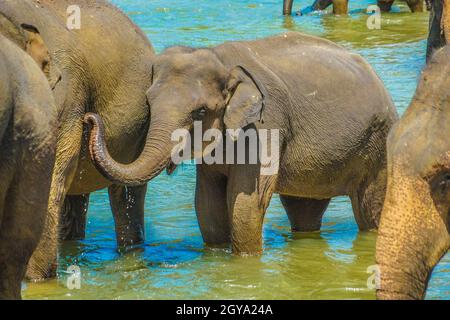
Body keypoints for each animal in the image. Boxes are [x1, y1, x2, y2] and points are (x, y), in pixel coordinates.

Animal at [0, 0, 155, 280]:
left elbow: (49, 181)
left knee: (126, 197)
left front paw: (37, 279)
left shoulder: (65, 98)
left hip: (140, 131)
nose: (89, 119)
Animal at [84, 31, 398, 255]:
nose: (89, 118)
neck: (221, 61)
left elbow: (246, 202)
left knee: (369, 210)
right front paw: (216, 254)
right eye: (148, 103)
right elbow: (207, 203)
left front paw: (244, 259)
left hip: (376, 146)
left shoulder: (265, 125)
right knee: (304, 210)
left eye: (200, 112)